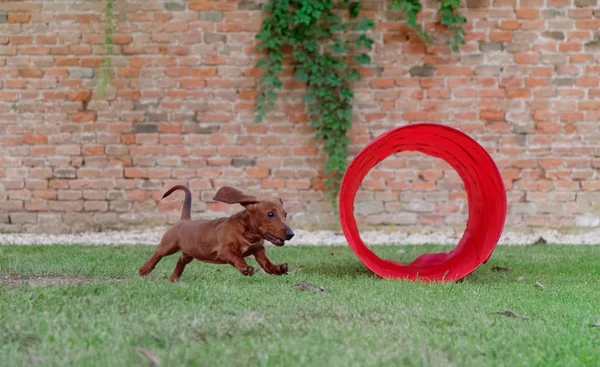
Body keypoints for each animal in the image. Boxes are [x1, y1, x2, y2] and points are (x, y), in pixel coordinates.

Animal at [138, 185, 292, 284]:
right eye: (270, 214)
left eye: (285, 214)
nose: (291, 234)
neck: (247, 233)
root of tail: (184, 220)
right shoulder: (224, 251)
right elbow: (236, 257)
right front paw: (244, 267)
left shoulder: (259, 250)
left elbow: (266, 263)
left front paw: (277, 268)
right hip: (168, 245)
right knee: (158, 253)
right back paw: (145, 268)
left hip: (190, 252)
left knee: (181, 260)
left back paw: (174, 277)